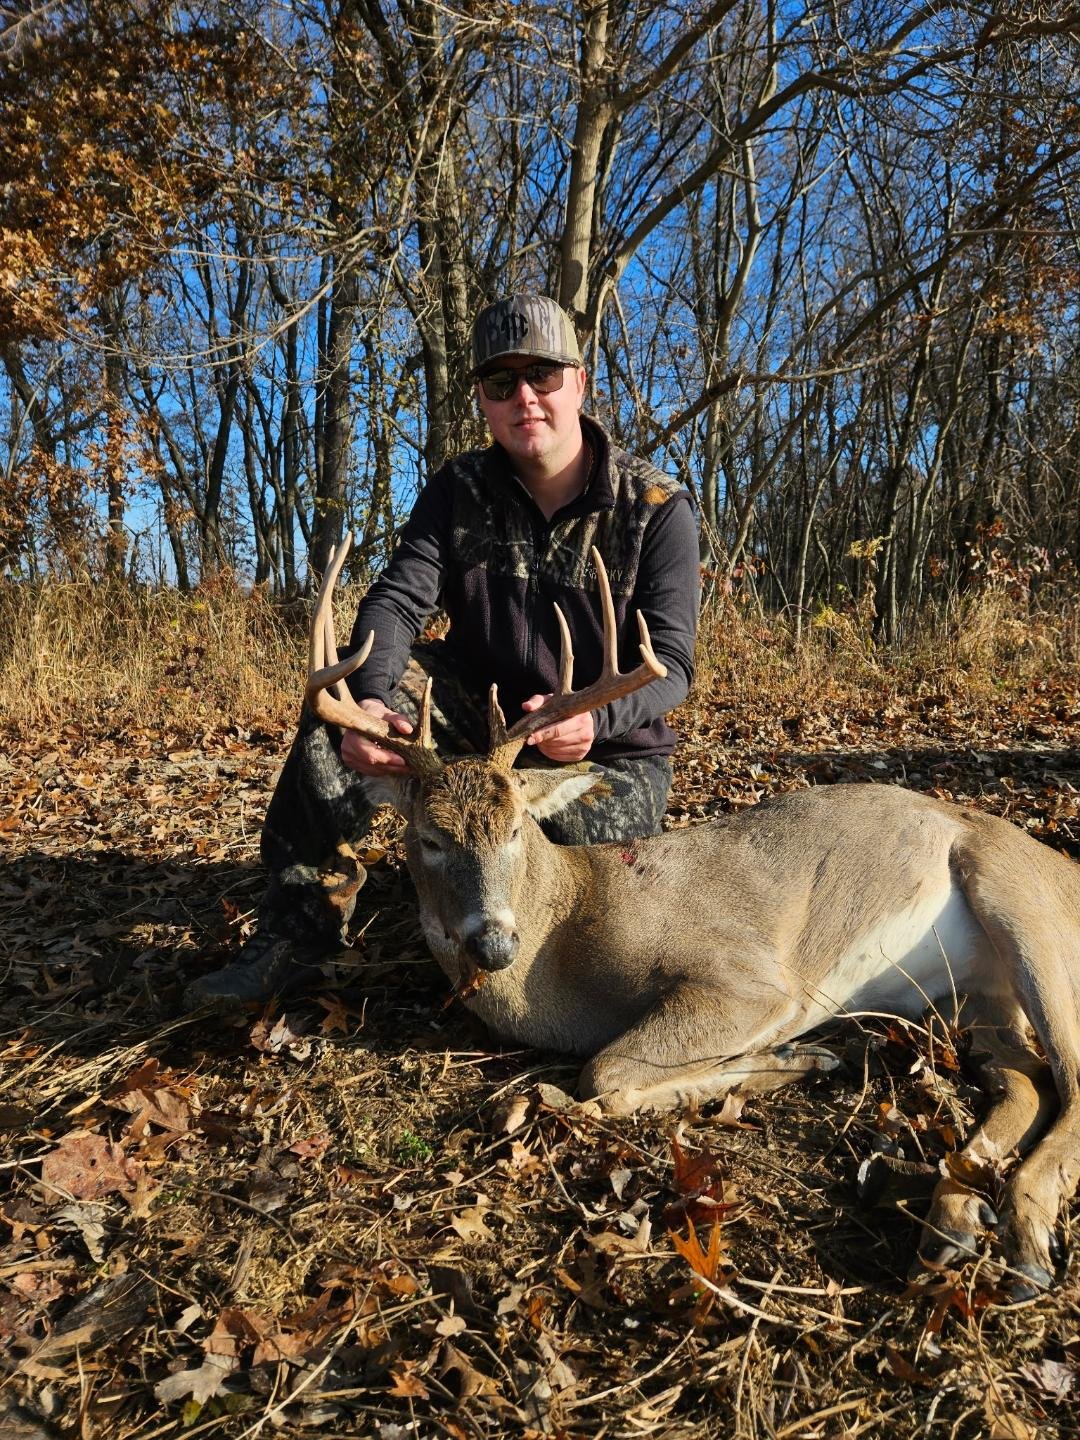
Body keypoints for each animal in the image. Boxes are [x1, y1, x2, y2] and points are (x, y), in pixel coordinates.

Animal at [306, 535, 1080, 1302]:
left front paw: (791, 1058)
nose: (494, 942)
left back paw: (1025, 1242)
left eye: (518, 826)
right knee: (1028, 1083)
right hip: (971, 999)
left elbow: (601, 1076)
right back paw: (954, 1220)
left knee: (1070, 1083)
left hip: (1018, 906)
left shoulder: (751, 980)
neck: (565, 948)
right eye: (429, 838)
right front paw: (795, 1060)